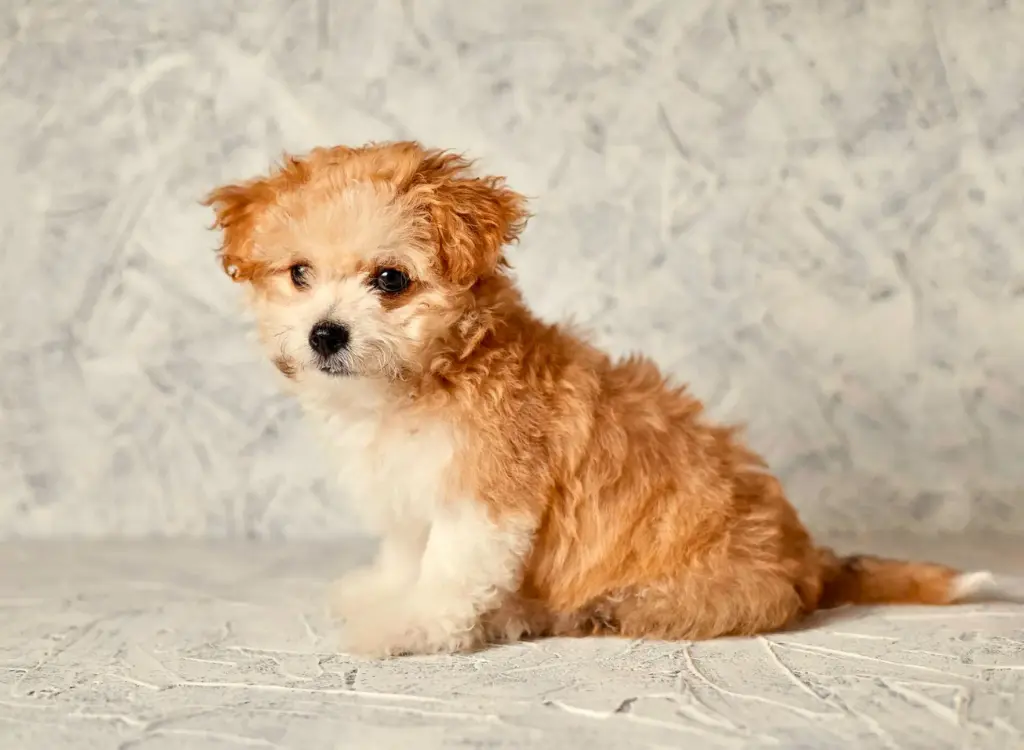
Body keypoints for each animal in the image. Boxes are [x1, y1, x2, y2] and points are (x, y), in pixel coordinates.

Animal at [203, 140, 1019, 655]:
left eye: (390, 281)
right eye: (299, 274)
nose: (325, 334)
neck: (429, 377)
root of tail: (809, 560)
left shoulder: (486, 499)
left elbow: (448, 574)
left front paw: (407, 629)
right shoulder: (413, 489)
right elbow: (410, 554)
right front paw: (382, 593)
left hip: (697, 592)